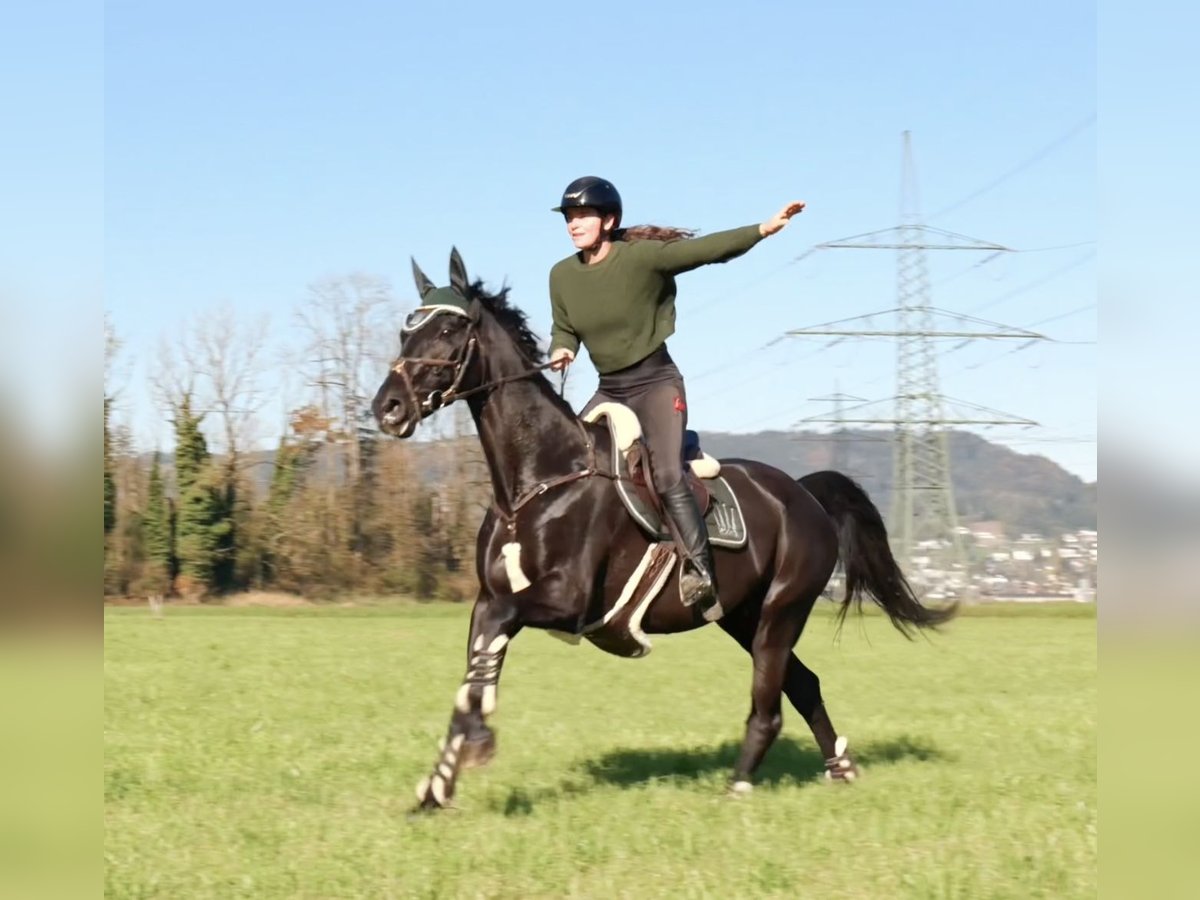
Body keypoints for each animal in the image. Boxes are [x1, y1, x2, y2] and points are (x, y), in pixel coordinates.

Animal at [369, 250, 950, 816]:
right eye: (405, 330)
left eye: (448, 330)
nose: (387, 408)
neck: (537, 482)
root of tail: (804, 495)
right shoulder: (489, 599)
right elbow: (475, 673)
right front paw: (435, 790)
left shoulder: (564, 601)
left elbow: (483, 666)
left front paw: (475, 744)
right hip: (741, 616)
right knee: (804, 684)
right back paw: (841, 768)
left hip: (780, 614)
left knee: (769, 705)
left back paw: (737, 788)